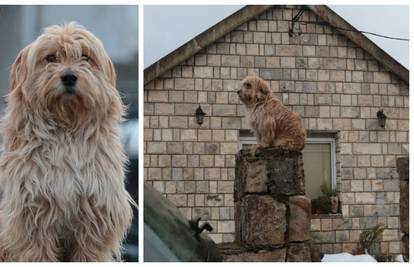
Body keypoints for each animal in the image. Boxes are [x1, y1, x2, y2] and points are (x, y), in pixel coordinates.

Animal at [0, 22, 133, 262]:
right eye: (51, 58)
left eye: (85, 57)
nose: (69, 77)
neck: (66, 132)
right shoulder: (32, 215)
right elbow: (39, 252)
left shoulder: (96, 214)